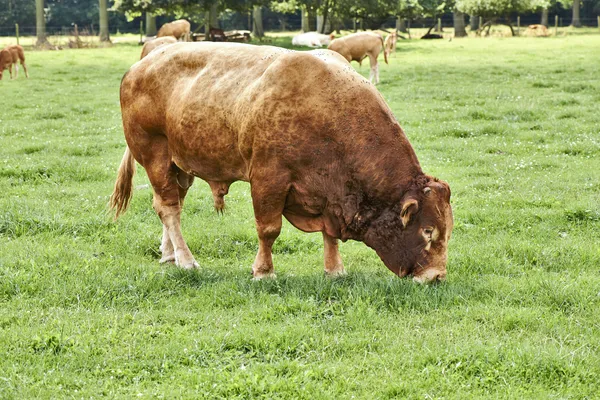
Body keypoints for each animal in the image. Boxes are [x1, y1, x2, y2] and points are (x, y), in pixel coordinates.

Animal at [110, 43, 452, 284]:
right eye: (428, 231)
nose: (435, 277)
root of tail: (139, 66)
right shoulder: (268, 179)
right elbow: (268, 230)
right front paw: (264, 271)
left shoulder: (330, 193)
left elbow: (329, 235)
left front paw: (334, 269)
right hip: (155, 156)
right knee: (169, 208)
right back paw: (185, 259)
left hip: (179, 165)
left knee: (170, 204)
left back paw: (168, 254)